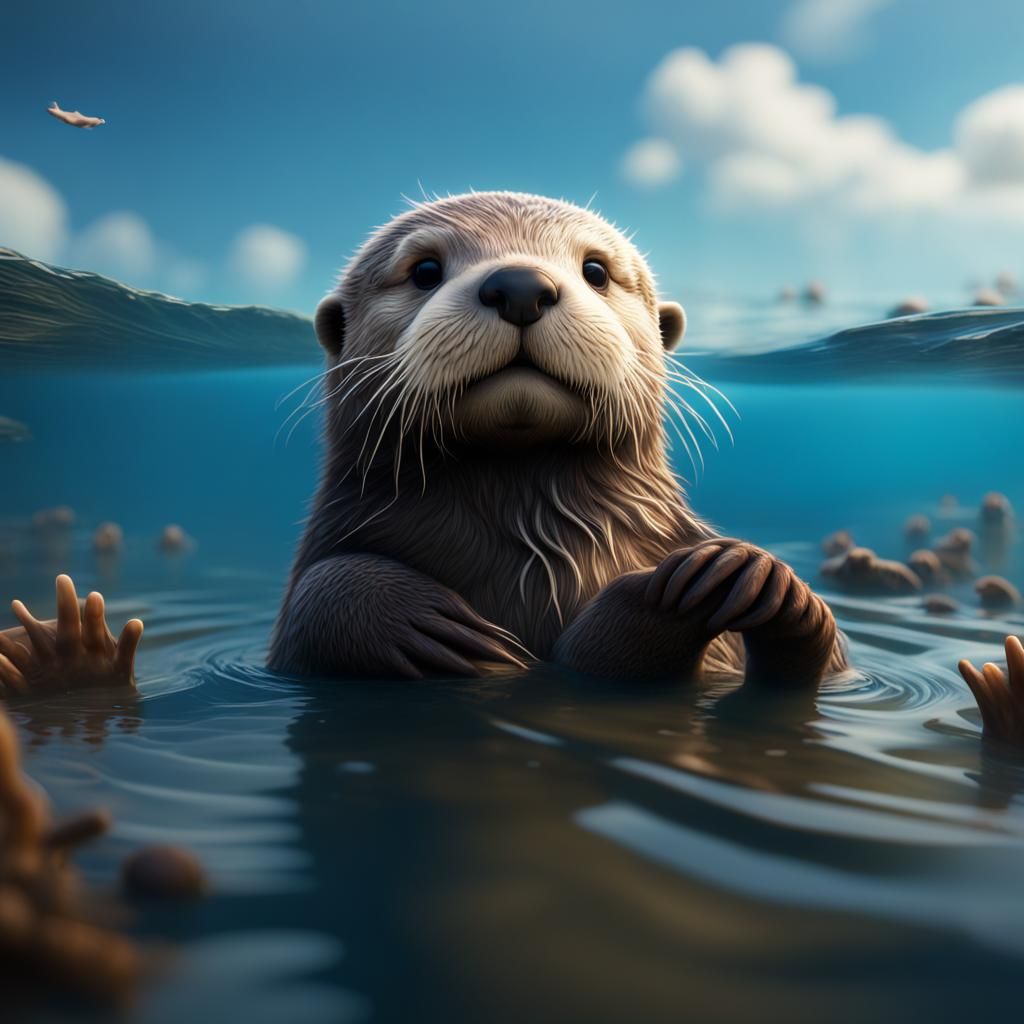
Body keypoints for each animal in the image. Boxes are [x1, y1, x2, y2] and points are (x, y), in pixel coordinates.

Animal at [268, 192, 845, 687]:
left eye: (596, 271)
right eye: (425, 271)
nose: (520, 285)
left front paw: (753, 575)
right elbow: (314, 600)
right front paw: (420, 622)